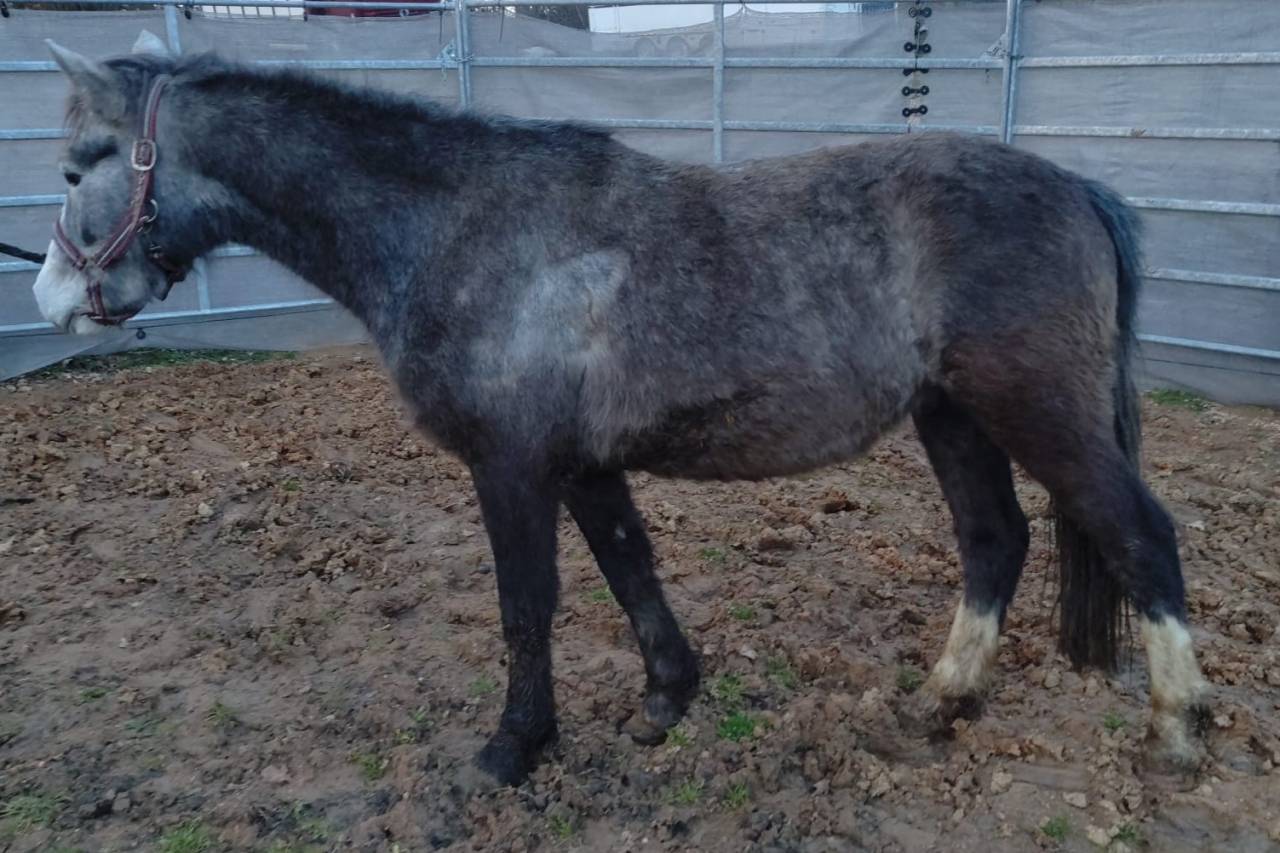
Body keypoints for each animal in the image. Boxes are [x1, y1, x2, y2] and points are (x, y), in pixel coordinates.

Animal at [32, 35, 1211, 786]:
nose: (51, 299)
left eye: (78, 164)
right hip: (954, 417)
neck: (460, 231)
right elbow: (628, 568)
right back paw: (939, 701)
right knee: (992, 540)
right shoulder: (582, 464)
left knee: (1140, 537)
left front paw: (514, 748)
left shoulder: (509, 465)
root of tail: (1078, 190)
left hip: (1039, 412)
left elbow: (529, 605)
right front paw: (666, 698)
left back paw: (1175, 734)